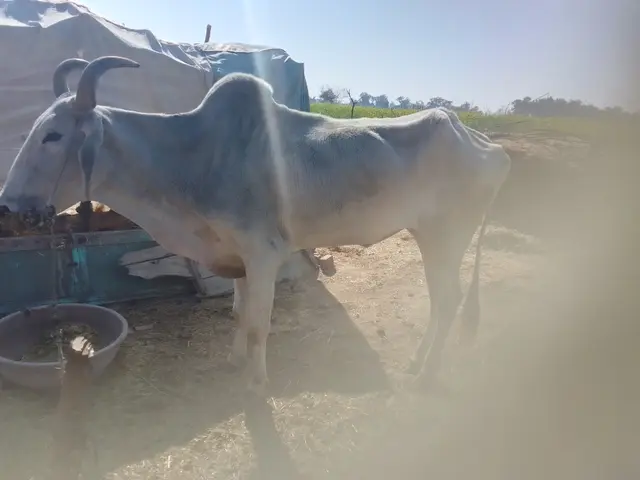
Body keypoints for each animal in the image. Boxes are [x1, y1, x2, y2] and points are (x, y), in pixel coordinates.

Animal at [0, 56, 511, 396]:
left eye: (53, 135)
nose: (9, 205)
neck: (194, 157)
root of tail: (486, 144)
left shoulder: (264, 254)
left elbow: (259, 323)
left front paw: (257, 381)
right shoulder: (237, 260)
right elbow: (239, 315)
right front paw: (234, 363)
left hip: (446, 239)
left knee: (448, 302)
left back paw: (425, 371)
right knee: (445, 303)